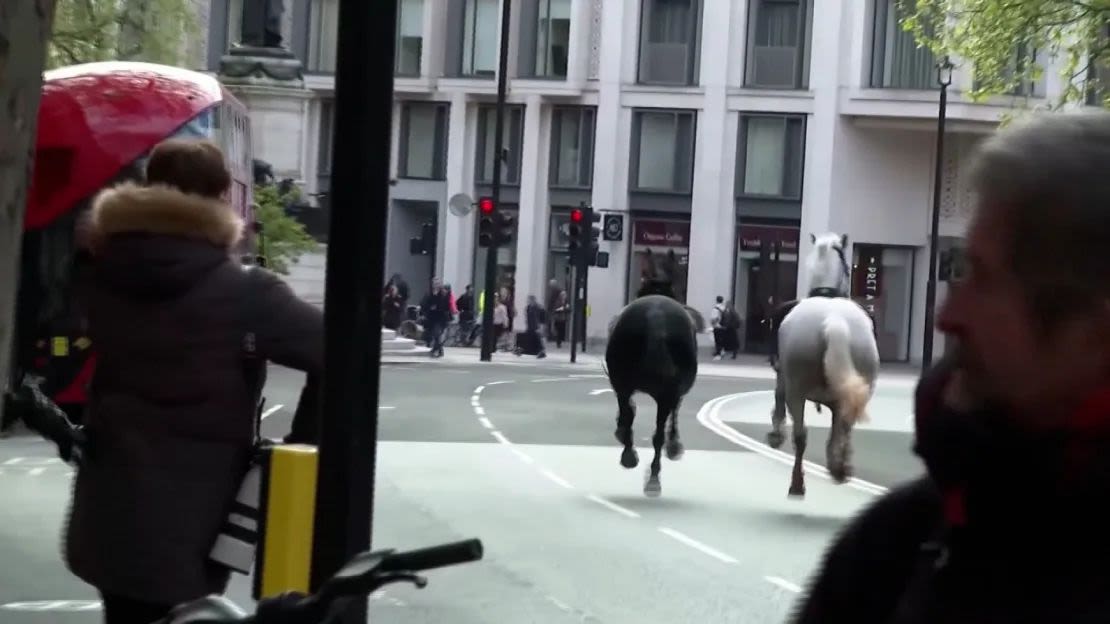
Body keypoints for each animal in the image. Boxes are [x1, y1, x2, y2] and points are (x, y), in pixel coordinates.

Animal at [608, 245, 701, 492]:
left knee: (631, 417)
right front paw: (674, 445)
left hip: (625, 383)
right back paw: (652, 474)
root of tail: (656, 317)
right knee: (655, 430)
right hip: (661, 391)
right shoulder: (675, 390)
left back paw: (632, 457)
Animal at [768, 230, 879, 497]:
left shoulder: (783, 378)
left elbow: (778, 400)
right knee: (844, 428)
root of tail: (834, 321)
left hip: (796, 390)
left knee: (801, 435)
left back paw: (798, 483)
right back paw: (840, 468)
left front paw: (775, 434)